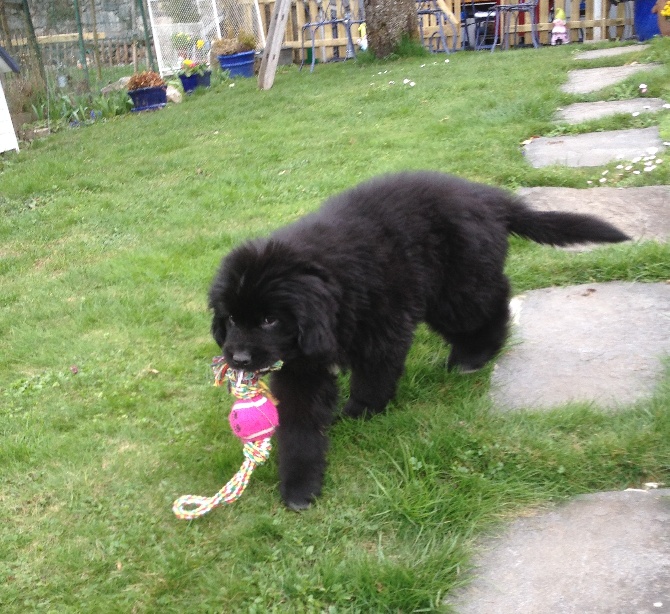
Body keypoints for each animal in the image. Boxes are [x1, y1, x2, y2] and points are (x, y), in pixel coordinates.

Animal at [209, 171, 632, 512]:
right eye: (230, 319)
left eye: (269, 319)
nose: (239, 358)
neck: (331, 287)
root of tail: (486, 196)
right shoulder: (301, 364)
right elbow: (299, 424)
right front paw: (299, 486)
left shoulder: (381, 329)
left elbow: (373, 377)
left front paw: (362, 412)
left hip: (455, 288)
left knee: (494, 301)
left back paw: (474, 356)